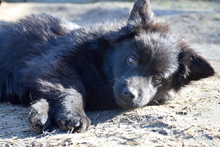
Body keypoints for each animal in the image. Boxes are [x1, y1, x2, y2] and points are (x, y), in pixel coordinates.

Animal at [0, 0, 214, 133]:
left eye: (158, 78)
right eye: (131, 60)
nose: (131, 94)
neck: (100, 70)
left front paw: (42, 113)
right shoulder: (49, 64)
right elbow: (73, 89)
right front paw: (73, 114)